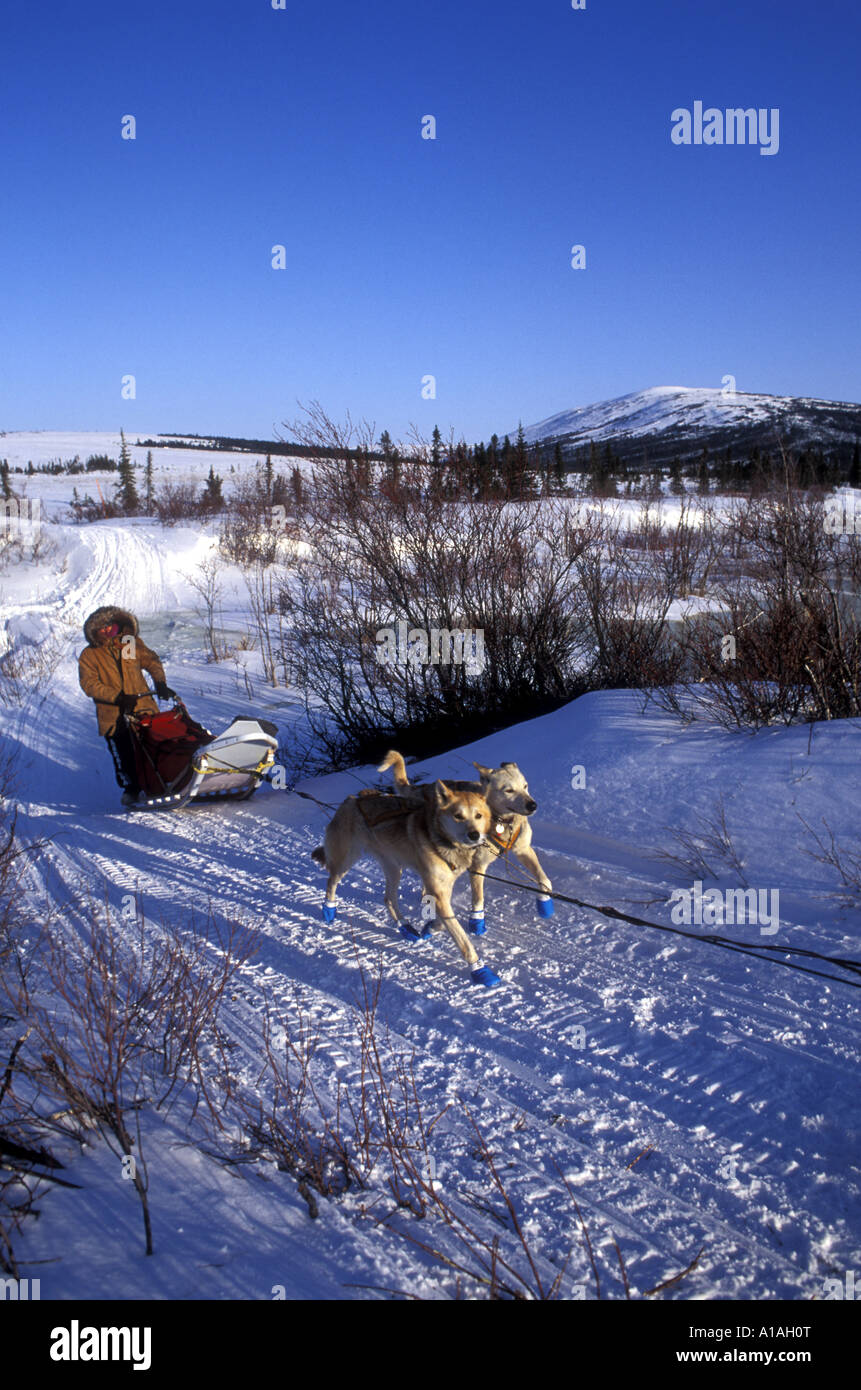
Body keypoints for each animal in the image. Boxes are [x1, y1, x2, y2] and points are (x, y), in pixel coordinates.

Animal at [310, 783, 500, 989]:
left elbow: (444, 922)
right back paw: (329, 911)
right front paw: (480, 970)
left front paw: (430, 928)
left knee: (388, 899)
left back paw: (406, 928)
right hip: (346, 861)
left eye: (478, 815)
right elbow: (463, 940)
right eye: (458, 815)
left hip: (394, 868)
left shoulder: (443, 888)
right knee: (331, 882)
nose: (474, 835)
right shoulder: (438, 892)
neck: (440, 840)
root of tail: (351, 800)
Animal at [378, 750, 556, 934]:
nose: (533, 805)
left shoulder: (523, 850)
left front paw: (544, 903)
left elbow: (544, 879)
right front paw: (477, 922)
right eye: (509, 790)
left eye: (525, 786)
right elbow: (478, 898)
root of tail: (424, 787)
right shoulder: (478, 866)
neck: (501, 821)